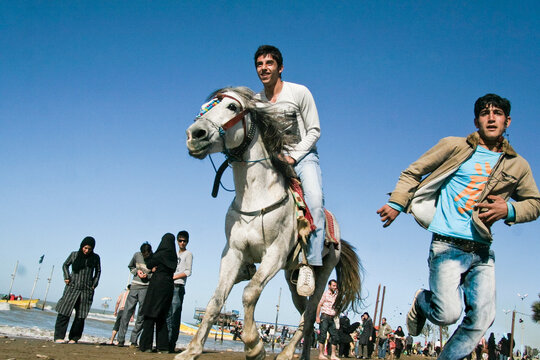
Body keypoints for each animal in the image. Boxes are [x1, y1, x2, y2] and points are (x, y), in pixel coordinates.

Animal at [179, 86, 360, 360]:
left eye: (232, 107)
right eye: (204, 107)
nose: (194, 134)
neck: (257, 196)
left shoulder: (274, 253)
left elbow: (249, 292)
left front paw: (254, 347)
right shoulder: (233, 252)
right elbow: (216, 300)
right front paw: (192, 349)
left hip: (323, 273)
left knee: (309, 316)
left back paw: (285, 354)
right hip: (292, 279)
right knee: (306, 317)